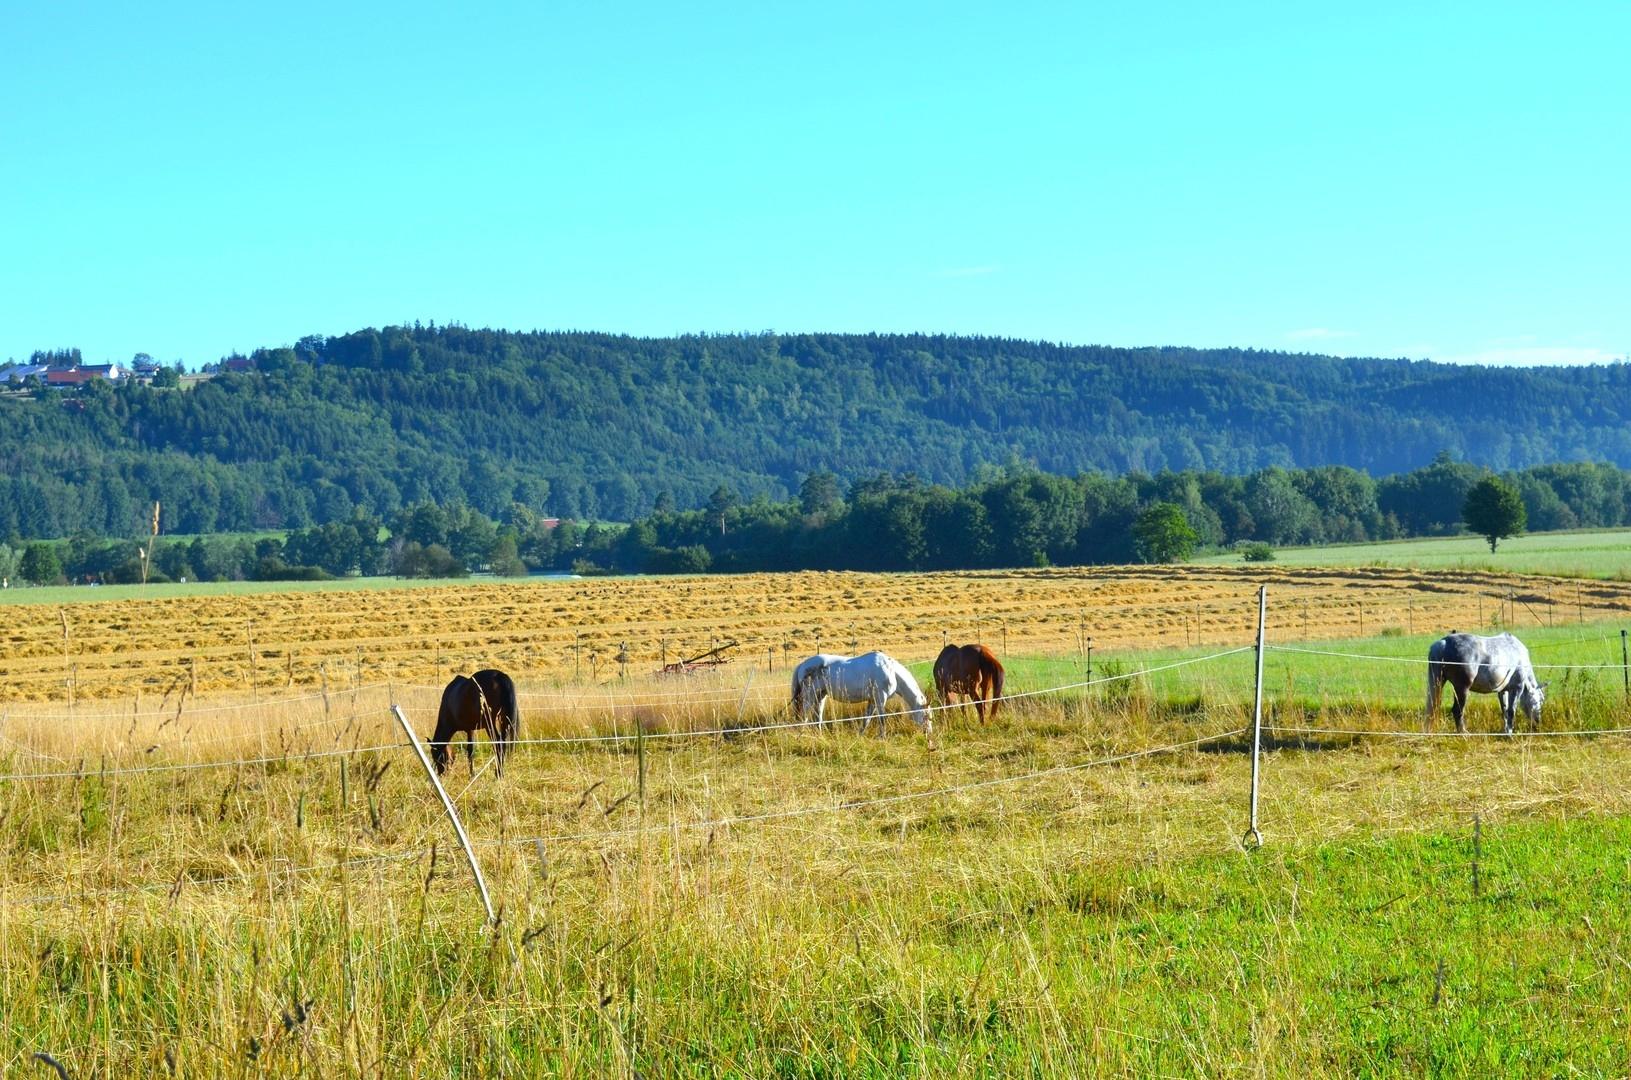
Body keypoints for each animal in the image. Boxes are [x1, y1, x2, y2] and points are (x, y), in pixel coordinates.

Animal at [796, 651, 932, 735]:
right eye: (926, 716)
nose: (928, 732)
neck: (891, 671)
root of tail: (802, 664)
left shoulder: (872, 700)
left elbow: (866, 719)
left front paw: (860, 735)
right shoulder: (880, 698)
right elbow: (882, 719)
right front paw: (883, 737)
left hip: (820, 696)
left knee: (817, 717)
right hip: (809, 696)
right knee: (805, 715)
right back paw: (802, 734)